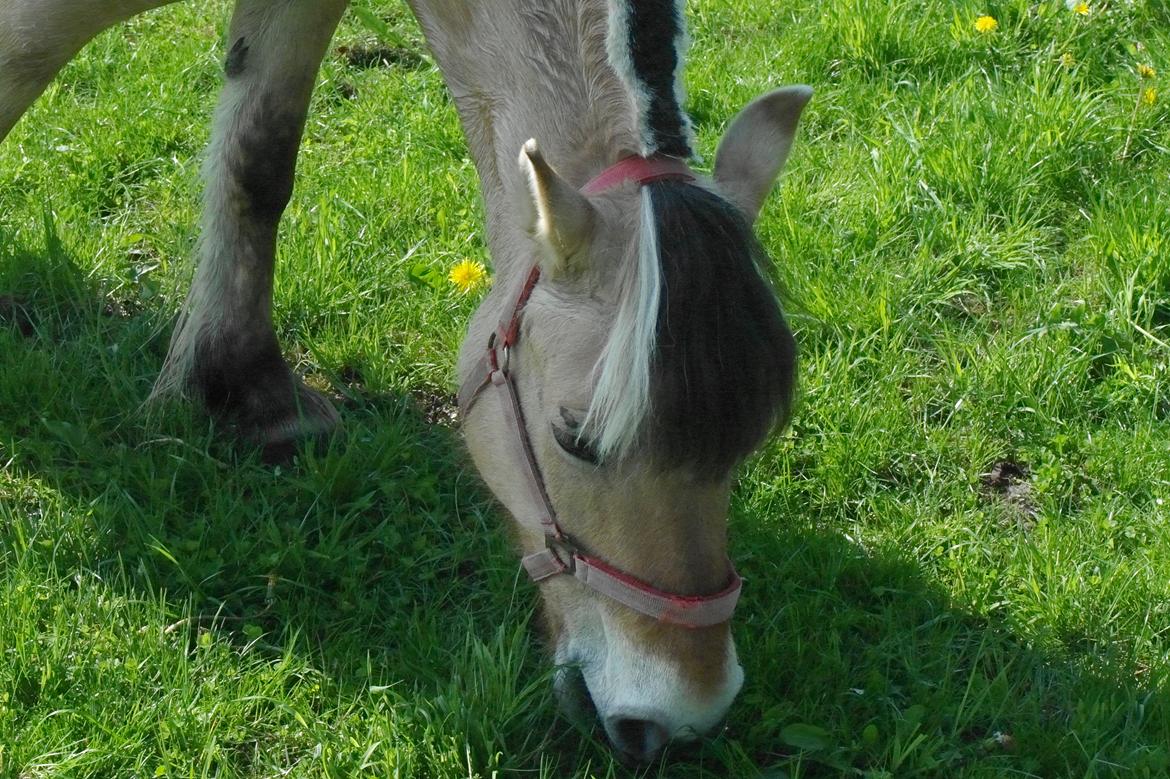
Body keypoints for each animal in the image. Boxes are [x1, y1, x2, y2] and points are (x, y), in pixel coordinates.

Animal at [0, 0, 809, 757]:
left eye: (745, 445)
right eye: (573, 439)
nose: (682, 715)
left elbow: (261, 156)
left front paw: (245, 391)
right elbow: (20, 68)